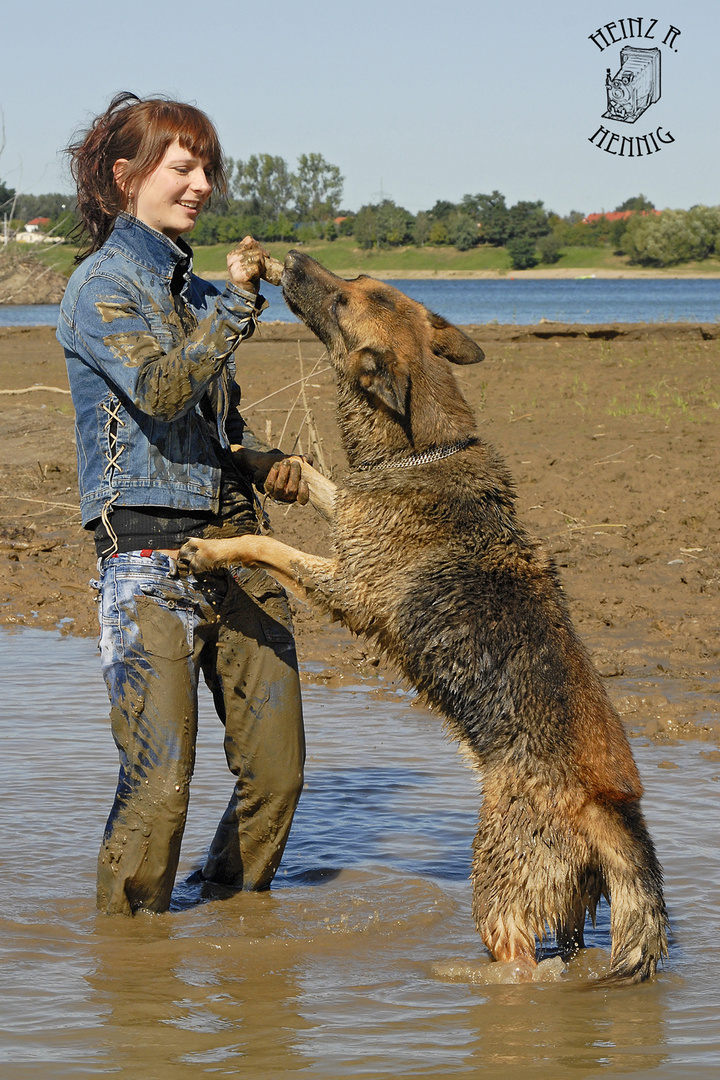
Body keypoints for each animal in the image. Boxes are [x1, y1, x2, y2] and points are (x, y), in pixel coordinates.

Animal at [180, 252, 669, 989]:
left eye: (343, 301)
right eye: (354, 283)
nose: (289, 258)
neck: (422, 447)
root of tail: (611, 809)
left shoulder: (348, 586)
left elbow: (266, 545)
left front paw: (211, 549)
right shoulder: (350, 510)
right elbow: (312, 476)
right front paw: (246, 452)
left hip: (496, 883)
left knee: (518, 963)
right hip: (570, 910)